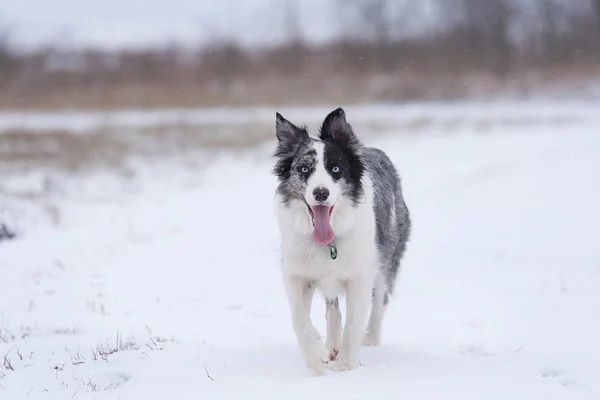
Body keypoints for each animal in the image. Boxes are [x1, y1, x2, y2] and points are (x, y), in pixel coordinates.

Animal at [274, 108, 410, 374]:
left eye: (335, 169)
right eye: (304, 169)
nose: (321, 193)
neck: (328, 242)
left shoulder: (360, 275)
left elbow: (355, 321)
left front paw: (346, 367)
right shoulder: (296, 273)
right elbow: (299, 317)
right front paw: (316, 358)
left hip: (386, 259)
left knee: (379, 303)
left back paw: (370, 341)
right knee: (332, 308)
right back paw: (331, 346)